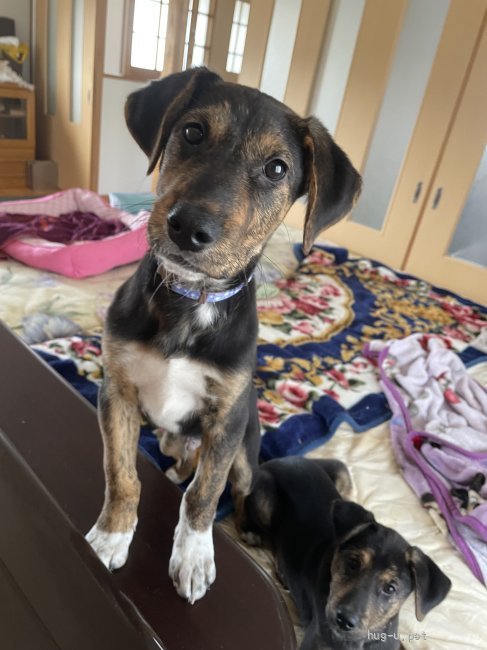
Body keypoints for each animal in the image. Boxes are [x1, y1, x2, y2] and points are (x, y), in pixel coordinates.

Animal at [86, 67, 361, 604]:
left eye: (277, 169)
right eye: (192, 132)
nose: (188, 228)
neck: (192, 300)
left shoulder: (226, 422)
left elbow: (205, 494)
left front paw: (193, 557)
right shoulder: (117, 392)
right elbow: (121, 472)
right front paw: (111, 535)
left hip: (247, 449)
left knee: (240, 487)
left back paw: (249, 529)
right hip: (170, 435)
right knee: (181, 463)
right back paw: (173, 470)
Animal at [242, 457, 452, 650]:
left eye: (391, 588)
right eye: (352, 563)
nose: (344, 621)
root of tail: (282, 459)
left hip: (342, 474)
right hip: (264, 496)